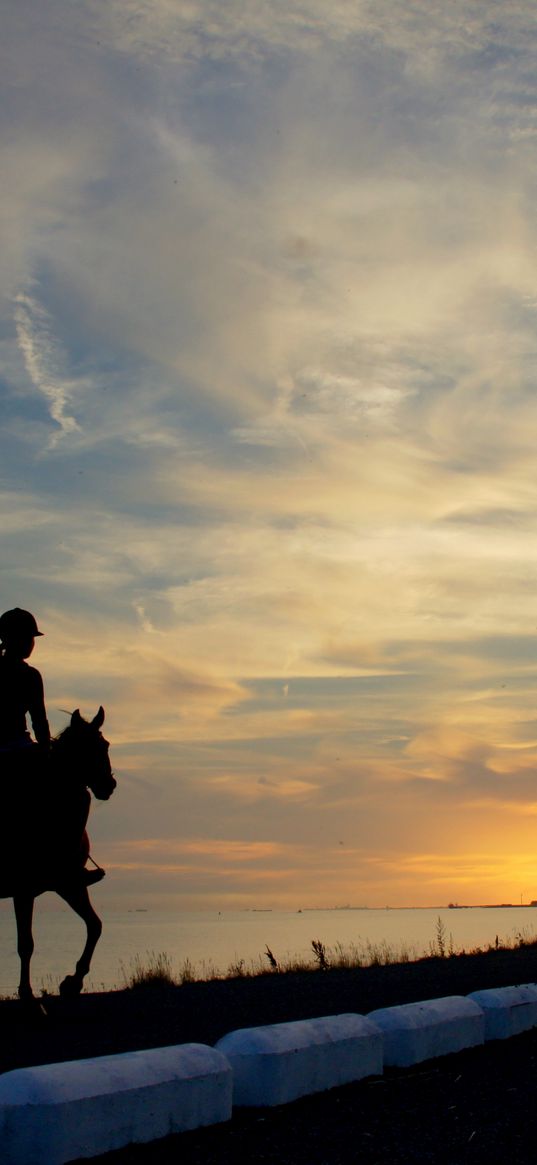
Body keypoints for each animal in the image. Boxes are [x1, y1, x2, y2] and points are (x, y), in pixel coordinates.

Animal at [0, 703, 115, 1006]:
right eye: (82, 747)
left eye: (104, 745)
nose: (108, 785)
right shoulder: (23, 889)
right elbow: (25, 944)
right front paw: (27, 994)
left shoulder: (70, 884)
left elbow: (95, 925)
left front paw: (73, 981)